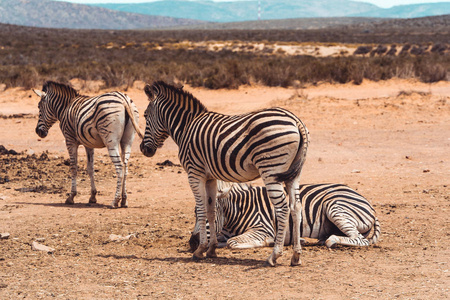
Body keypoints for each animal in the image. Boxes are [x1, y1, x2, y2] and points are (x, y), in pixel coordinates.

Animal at [141, 81, 310, 266]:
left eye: (145, 115)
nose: (143, 149)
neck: (186, 127)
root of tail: (295, 120)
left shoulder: (194, 173)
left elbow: (202, 209)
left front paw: (200, 250)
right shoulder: (210, 177)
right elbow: (211, 210)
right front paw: (212, 249)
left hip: (271, 169)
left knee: (282, 208)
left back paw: (274, 255)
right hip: (293, 174)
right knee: (296, 207)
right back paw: (296, 256)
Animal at [189, 182, 380, 250]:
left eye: (210, 215)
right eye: (195, 213)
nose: (192, 242)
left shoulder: (262, 228)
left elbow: (232, 243)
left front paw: (269, 242)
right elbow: (223, 240)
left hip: (335, 206)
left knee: (359, 238)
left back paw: (331, 240)